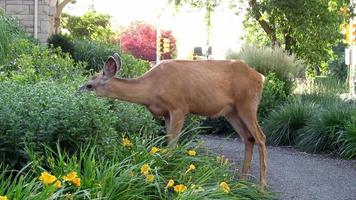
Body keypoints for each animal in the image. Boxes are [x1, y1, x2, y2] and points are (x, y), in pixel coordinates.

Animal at [78, 52, 268, 189]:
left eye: (89, 85)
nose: (76, 92)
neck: (151, 89)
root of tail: (261, 77)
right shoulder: (166, 114)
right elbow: (168, 142)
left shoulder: (179, 107)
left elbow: (172, 145)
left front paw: (170, 177)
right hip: (231, 111)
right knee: (248, 139)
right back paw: (241, 183)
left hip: (247, 104)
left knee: (261, 137)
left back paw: (261, 187)